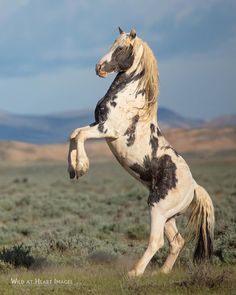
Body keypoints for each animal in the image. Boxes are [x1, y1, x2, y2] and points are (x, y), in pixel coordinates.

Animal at [67, 27, 215, 278]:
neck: (130, 99)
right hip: (168, 216)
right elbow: (74, 134)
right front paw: (72, 169)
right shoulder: (98, 124)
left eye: (121, 47)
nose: (99, 67)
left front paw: (82, 167)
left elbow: (80, 135)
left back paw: (134, 273)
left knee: (157, 242)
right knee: (177, 242)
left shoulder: (107, 129)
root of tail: (194, 187)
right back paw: (161, 273)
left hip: (157, 209)